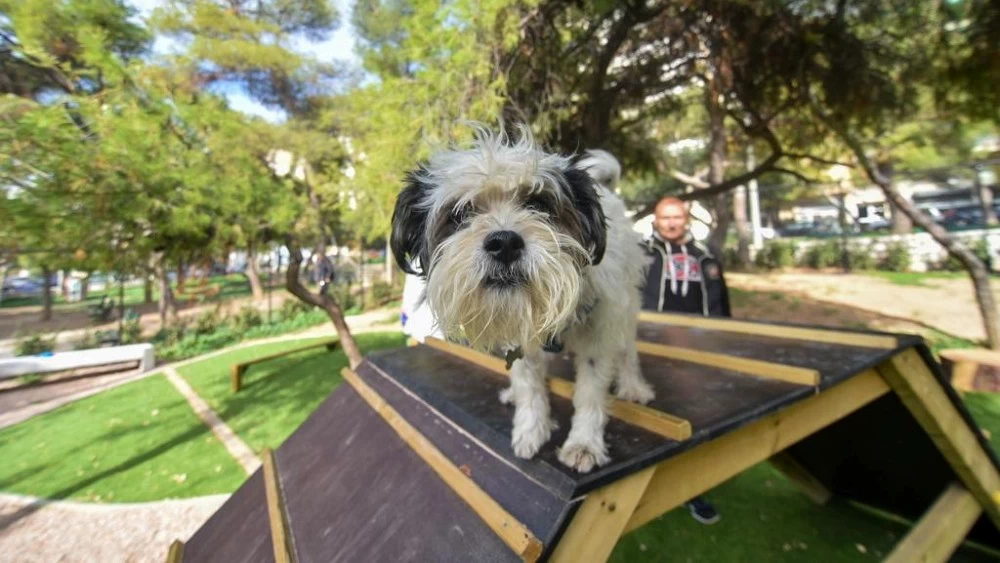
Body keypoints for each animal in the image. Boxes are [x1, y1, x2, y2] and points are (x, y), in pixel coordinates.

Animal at [390, 123, 656, 472]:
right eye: (460, 213)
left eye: (539, 204)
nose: (504, 243)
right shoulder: (518, 338)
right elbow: (529, 383)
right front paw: (531, 429)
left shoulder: (598, 332)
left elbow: (591, 390)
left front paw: (584, 443)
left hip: (625, 305)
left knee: (627, 349)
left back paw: (633, 385)